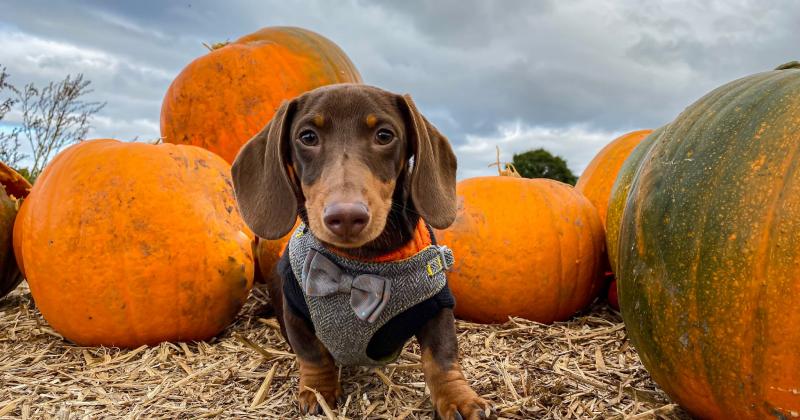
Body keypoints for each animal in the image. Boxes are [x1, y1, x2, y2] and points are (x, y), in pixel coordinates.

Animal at [231, 83, 494, 418]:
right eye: (307, 137)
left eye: (384, 135)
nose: (346, 217)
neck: (361, 262)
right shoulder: (294, 307)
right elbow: (312, 353)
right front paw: (317, 391)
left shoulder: (437, 305)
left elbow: (442, 356)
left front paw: (458, 398)